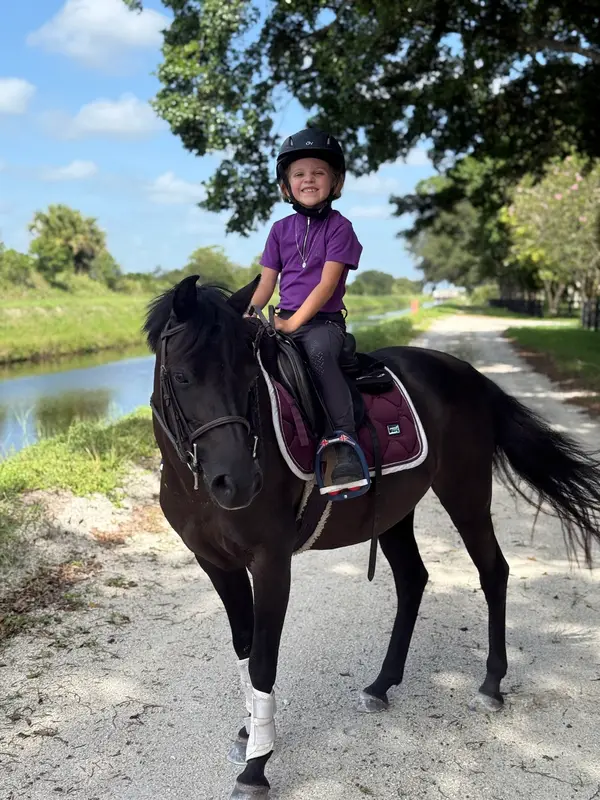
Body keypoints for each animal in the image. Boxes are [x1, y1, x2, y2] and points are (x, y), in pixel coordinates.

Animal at [144, 274, 600, 800]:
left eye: (248, 377)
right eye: (182, 377)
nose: (237, 482)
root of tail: (467, 373)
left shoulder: (271, 561)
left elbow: (262, 659)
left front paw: (256, 768)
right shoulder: (216, 562)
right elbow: (243, 648)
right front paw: (252, 731)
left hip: (465, 492)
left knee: (493, 571)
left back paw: (490, 685)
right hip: (397, 512)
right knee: (413, 580)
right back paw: (382, 685)